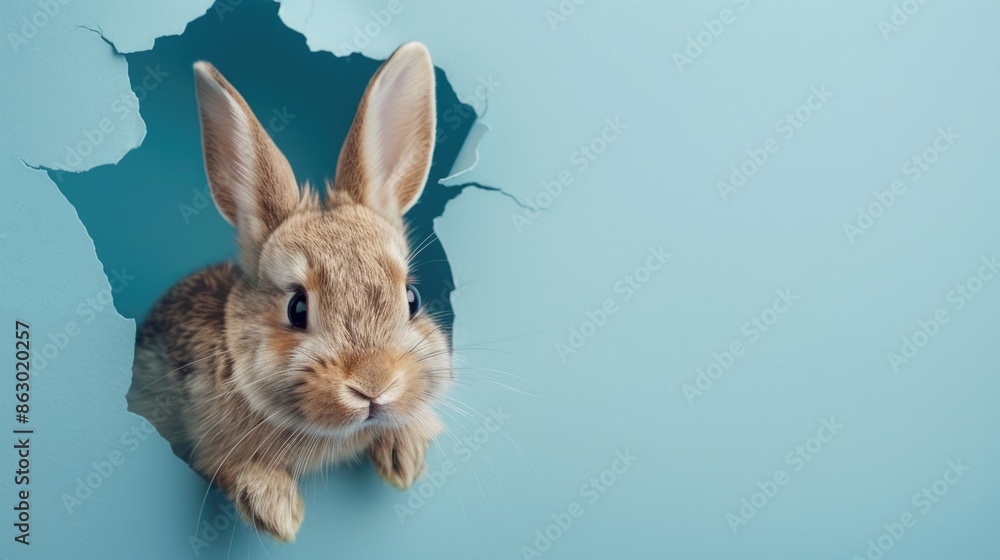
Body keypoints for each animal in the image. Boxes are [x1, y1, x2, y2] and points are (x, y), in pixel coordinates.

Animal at [126, 42, 451, 543]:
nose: (374, 385)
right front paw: (276, 510)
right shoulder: (199, 446)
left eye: (412, 299)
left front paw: (406, 454)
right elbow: (220, 465)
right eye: (297, 308)